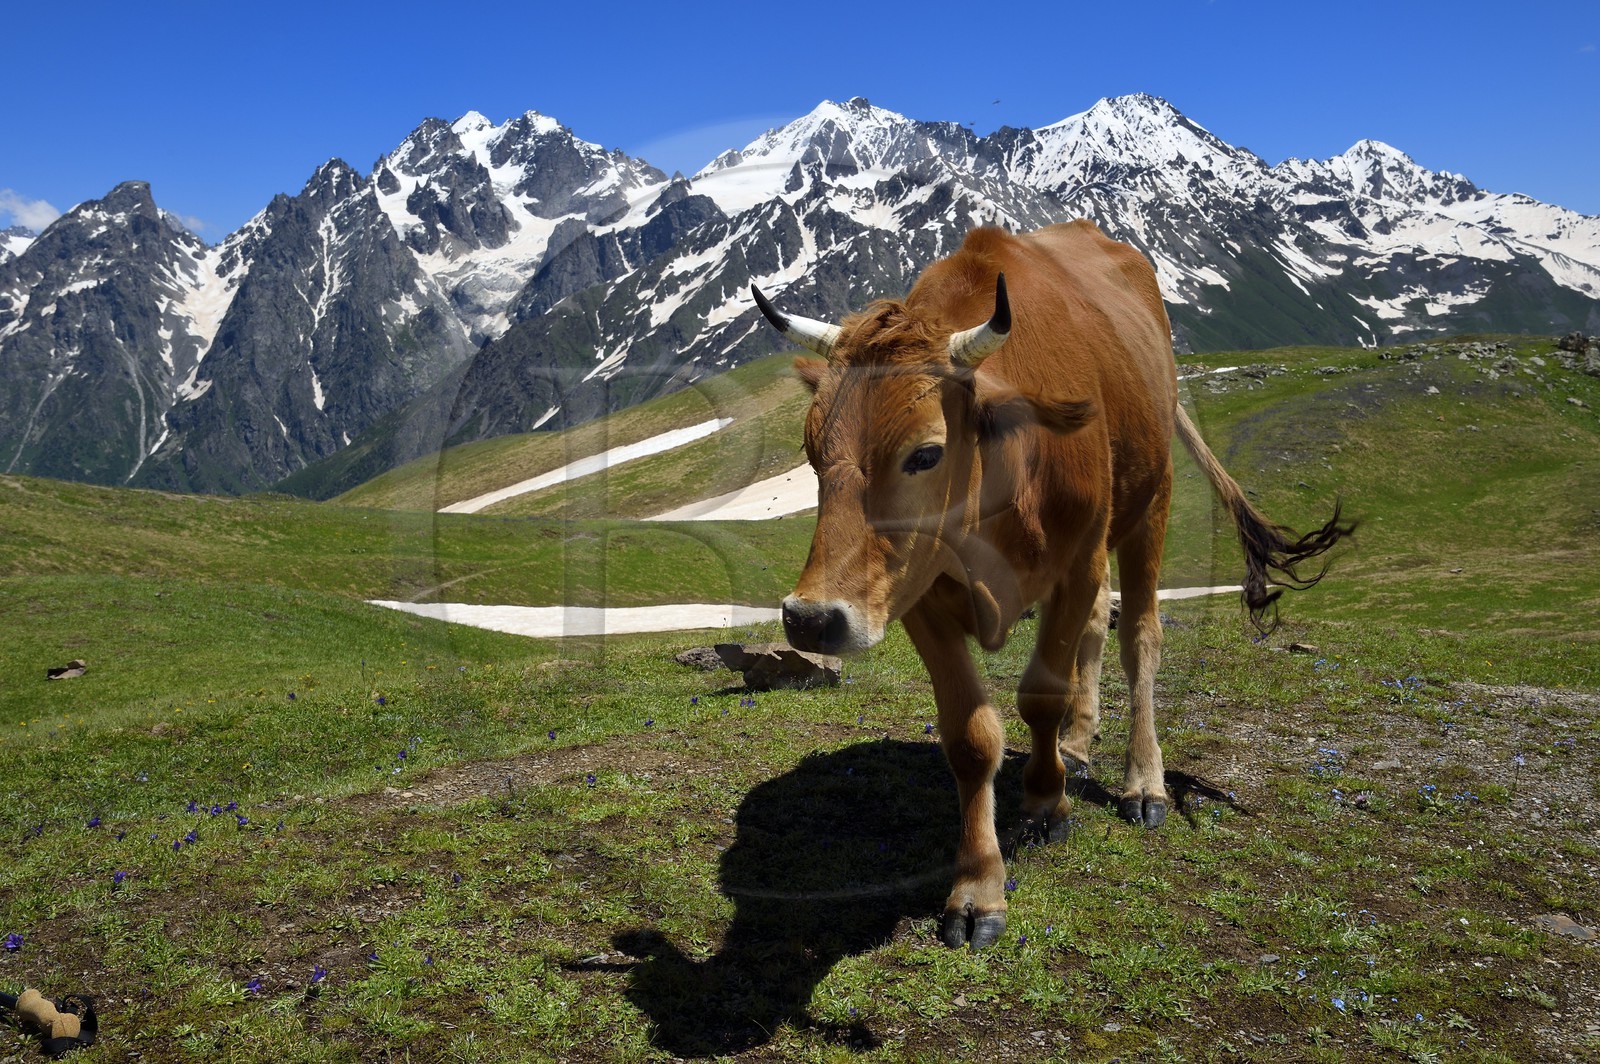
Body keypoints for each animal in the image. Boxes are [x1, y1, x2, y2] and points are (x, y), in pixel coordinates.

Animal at [751, 221, 1352, 950]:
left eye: (926, 453)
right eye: (812, 452)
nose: (811, 619)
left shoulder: (1077, 561)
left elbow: (1042, 692)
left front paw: (1046, 802)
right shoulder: (914, 595)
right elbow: (971, 735)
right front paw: (978, 887)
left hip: (1148, 507)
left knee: (1139, 638)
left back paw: (1141, 783)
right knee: (1095, 629)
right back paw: (1078, 743)